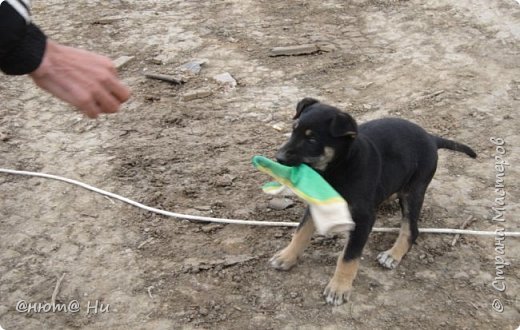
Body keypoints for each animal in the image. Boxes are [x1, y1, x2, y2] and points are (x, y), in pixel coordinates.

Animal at [270, 97, 478, 304]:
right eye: (293, 129)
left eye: (312, 139)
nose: (278, 158)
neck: (340, 166)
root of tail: (431, 138)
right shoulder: (316, 203)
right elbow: (300, 232)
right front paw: (286, 256)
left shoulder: (364, 219)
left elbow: (349, 256)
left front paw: (339, 288)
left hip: (414, 191)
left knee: (411, 229)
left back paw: (393, 254)